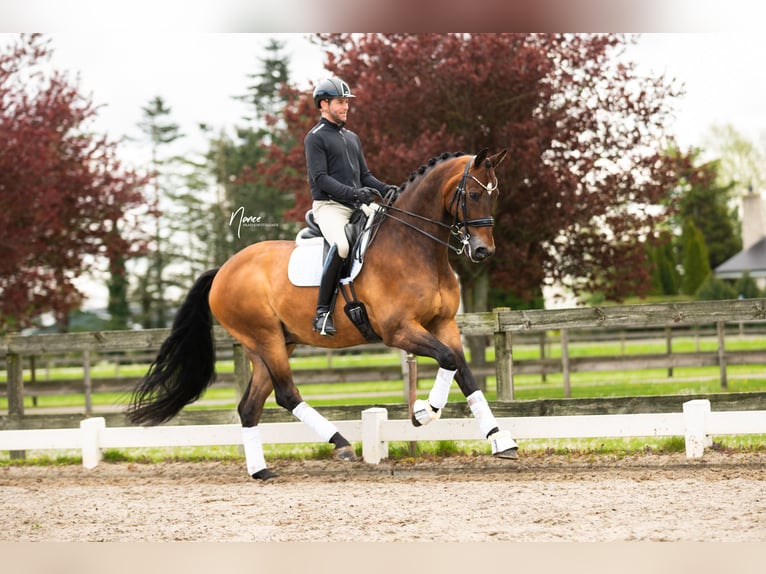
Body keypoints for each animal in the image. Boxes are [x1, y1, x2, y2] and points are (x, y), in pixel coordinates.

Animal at [127, 146, 520, 480]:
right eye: (473, 195)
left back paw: (261, 471)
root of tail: (223, 270)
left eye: (495, 195)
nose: (483, 251)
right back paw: (341, 443)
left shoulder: (443, 323)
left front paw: (500, 439)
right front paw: (423, 412)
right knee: (286, 394)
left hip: (272, 344)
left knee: (250, 406)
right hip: (265, 338)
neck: (415, 247)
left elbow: (462, 369)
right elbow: (448, 361)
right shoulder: (399, 330)